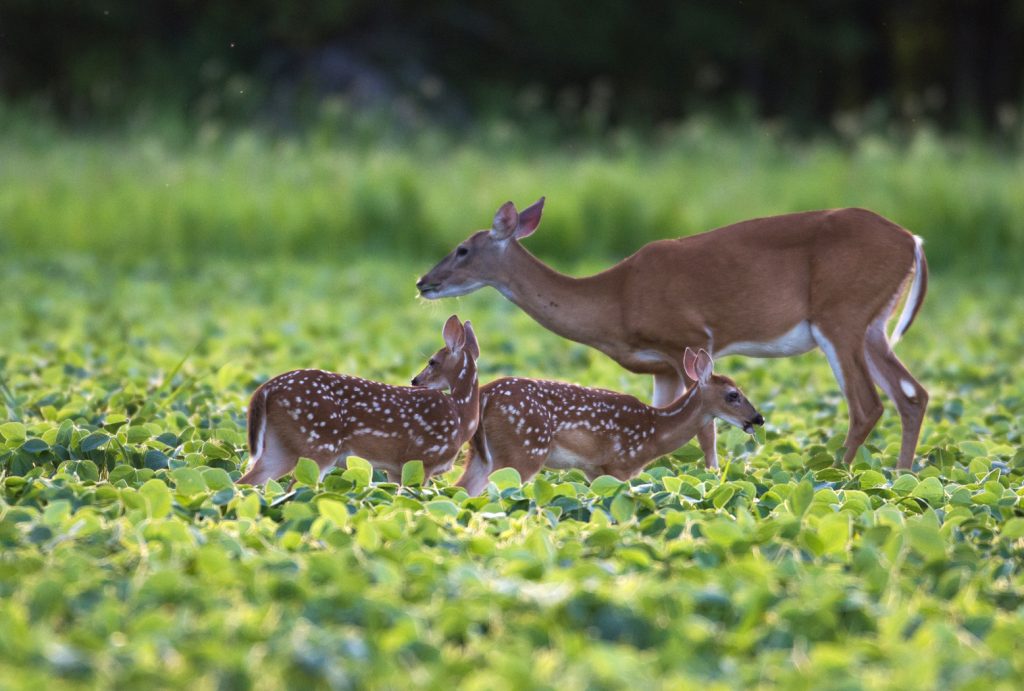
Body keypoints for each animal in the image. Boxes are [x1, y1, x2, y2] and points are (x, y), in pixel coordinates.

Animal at [237, 315, 481, 487]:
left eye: (432, 361)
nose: (415, 380)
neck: (461, 417)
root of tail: (266, 388)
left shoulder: (397, 468)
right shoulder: (423, 458)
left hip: (280, 447)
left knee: (245, 483)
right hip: (318, 442)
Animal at [415, 198, 929, 470]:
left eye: (462, 249)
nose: (423, 282)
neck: (615, 299)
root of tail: (914, 240)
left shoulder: (689, 337)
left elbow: (705, 430)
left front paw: (714, 476)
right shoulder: (660, 365)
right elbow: (661, 421)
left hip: (841, 316)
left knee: (868, 403)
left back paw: (838, 474)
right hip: (874, 325)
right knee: (913, 394)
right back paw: (898, 475)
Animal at [456, 348, 761, 495]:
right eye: (733, 394)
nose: (758, 418)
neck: (655, 431)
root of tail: (485, 394)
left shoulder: (595, 470)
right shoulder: (620, 465)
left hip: (483, 453)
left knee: (461, 490)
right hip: (523, 449)